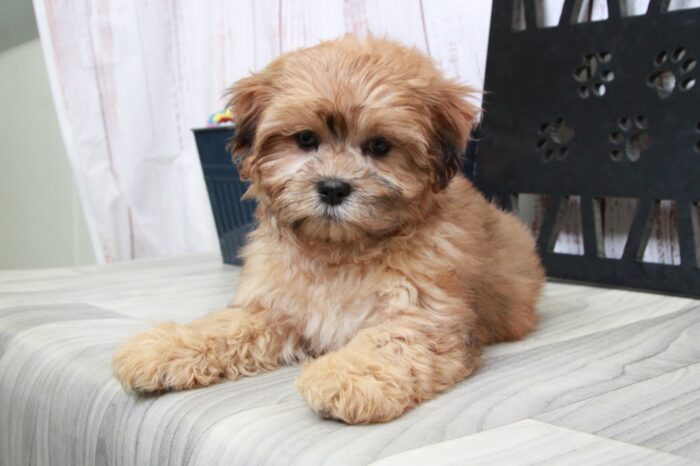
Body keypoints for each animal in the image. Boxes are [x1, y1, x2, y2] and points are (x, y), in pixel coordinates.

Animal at [112, 34, 544, 424]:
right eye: (305, 139)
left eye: (380, 146)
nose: (333, 188)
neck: (340, 250)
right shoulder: (276, 307)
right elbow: (227, 325)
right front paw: (165, 347)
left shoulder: (425, 317)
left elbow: (391, 342)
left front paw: (347, 377)